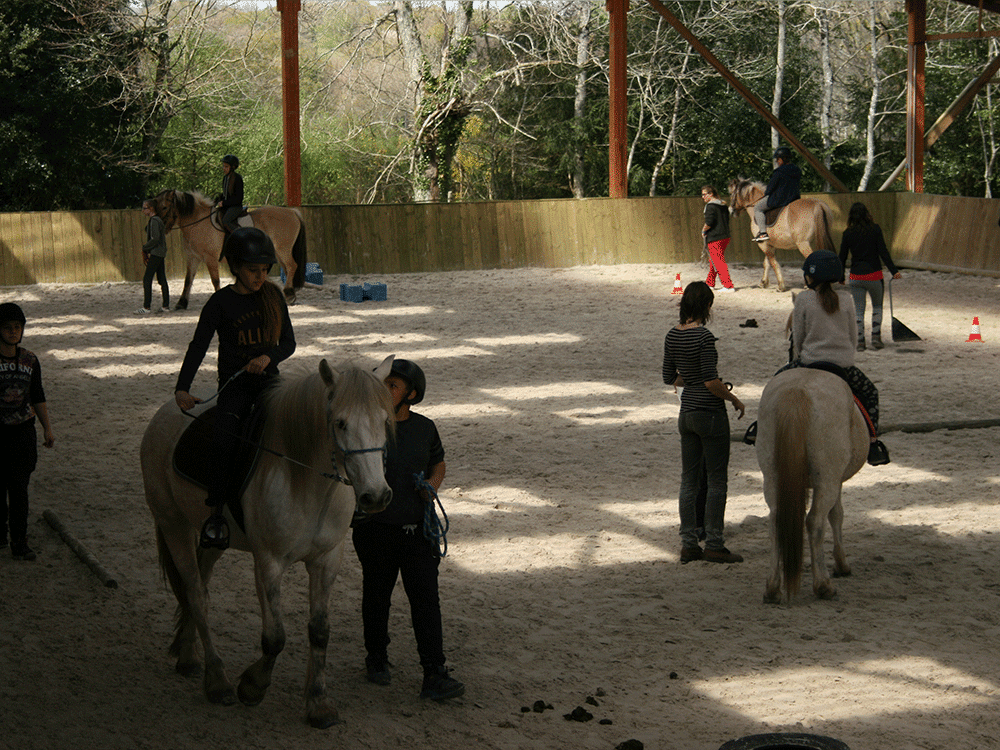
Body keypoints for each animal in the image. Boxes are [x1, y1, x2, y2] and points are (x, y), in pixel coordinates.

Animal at [142, 358, 398, 728]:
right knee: (195, 593)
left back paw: (189, 657)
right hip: (172, 522)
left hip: (210, 538)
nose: (376, 496)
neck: (306, 482)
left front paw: (318, 703)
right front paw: (252, 686)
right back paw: (217, 681)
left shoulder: (327, 559)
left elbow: (320, 630)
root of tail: (165, 413)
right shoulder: (269, 561)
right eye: (340, 423)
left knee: (200, 585)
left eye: (384, 421)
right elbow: (275, 637)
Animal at [150, 189, 306, 310]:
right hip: (279, 252)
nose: (159, 227)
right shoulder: (193, 258)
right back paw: (290, 294)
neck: (198, 223)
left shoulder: (210, 259)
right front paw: (181, 303)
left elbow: (215, 280)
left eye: (164, 207)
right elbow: (188, 280)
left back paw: (289, 294)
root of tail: (292, 212)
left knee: (292, 266)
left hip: (282, 249)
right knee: (287, 269)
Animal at [756, 368, 868, 604]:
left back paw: (772, 589)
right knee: (815, 521)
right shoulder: (836, 480)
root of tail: (797, 391)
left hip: (771, 476)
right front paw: (842, 565)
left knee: (775, 521)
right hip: (827, 479)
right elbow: (837, 515)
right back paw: (824, 586)